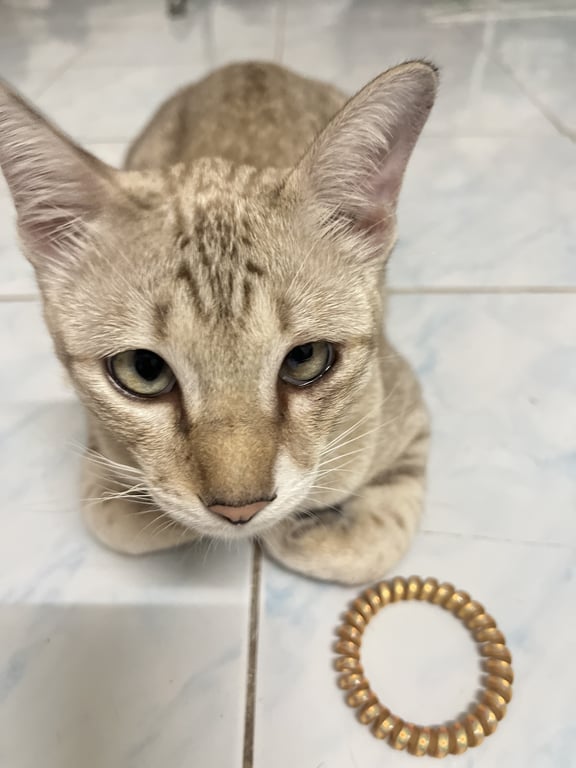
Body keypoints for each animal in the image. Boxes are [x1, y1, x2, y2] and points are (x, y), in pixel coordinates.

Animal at [0, 61, 437, 585]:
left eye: (306, 358)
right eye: (144, 369)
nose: (240, 510)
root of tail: (249, 64)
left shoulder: (405, 408)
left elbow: (368, 542)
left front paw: (299, 529)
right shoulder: (98, 452)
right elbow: (122, 519)